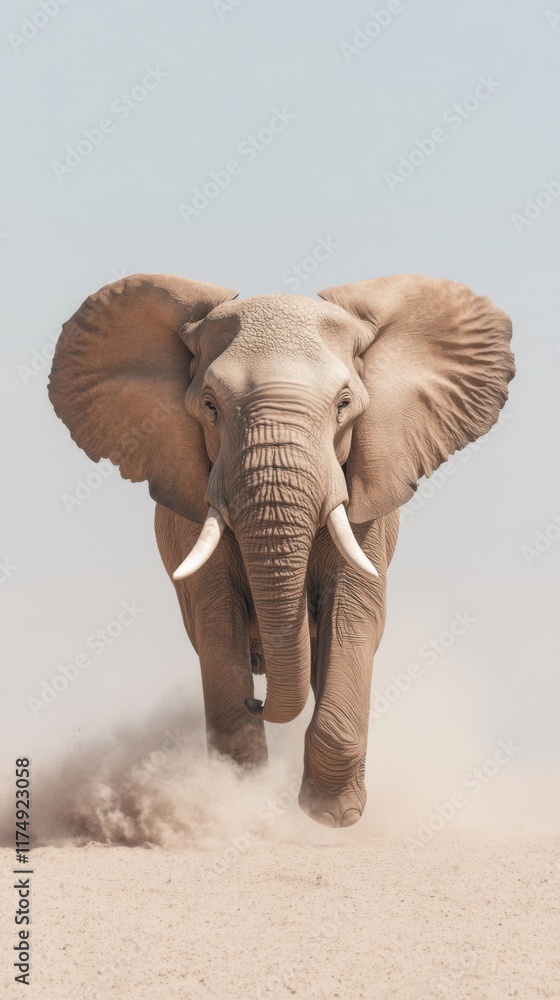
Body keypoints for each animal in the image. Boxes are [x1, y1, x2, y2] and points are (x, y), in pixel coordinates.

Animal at [48, 273, 514, 827]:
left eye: (344, 404)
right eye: (210, 405)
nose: (259, 701)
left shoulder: (367, 507)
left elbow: (353, 616)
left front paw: (330, 818)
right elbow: (217, 622)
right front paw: (238, 804)